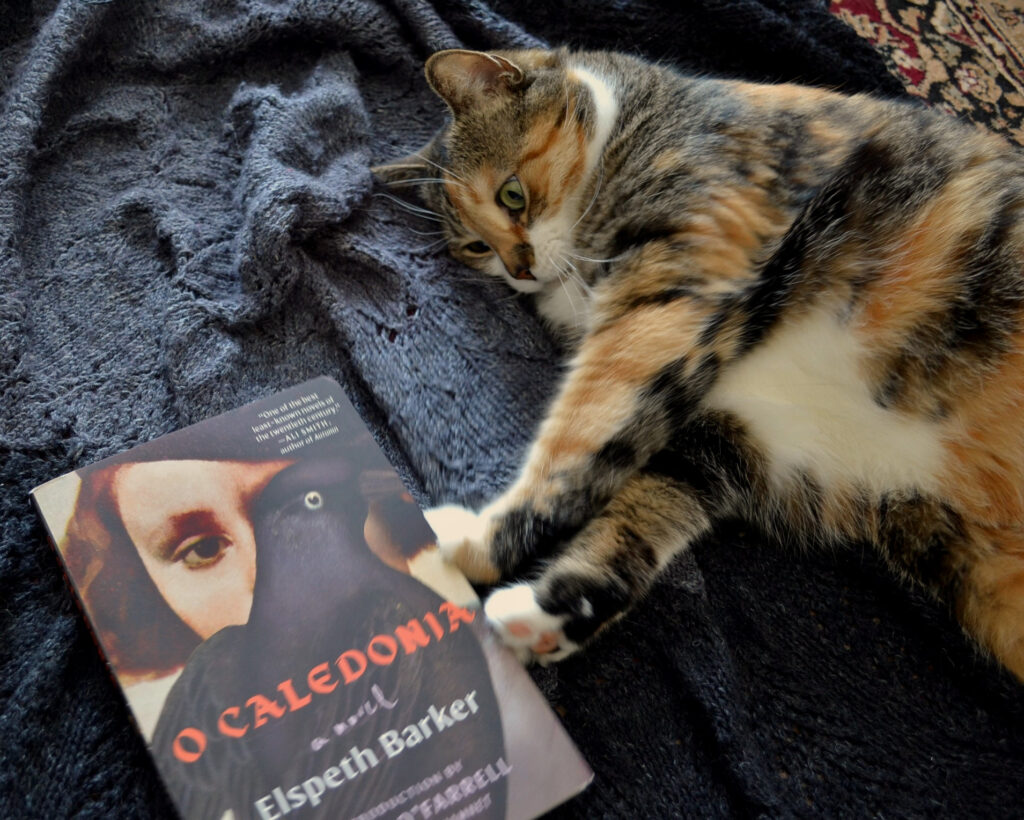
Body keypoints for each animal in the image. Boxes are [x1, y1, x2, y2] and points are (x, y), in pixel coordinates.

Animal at [376, 48, 1024, 679]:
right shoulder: (727, 434)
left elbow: (574, 446)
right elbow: (642, 514)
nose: (519, 269)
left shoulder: (669, 293)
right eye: (475, 247)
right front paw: (550, 615)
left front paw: (472, 546)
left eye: (511, 195)